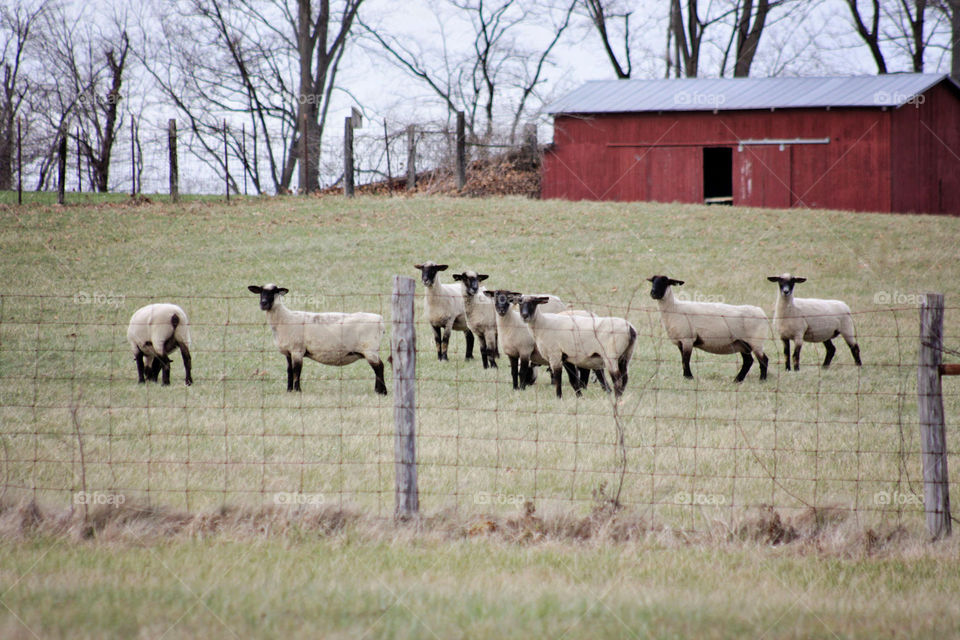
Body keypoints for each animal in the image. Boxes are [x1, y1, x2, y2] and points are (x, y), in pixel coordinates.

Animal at [248, 284, 386, 395]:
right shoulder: (288, 352)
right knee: (378, 368)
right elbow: (289, 371)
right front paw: (289, 390)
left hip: (370, 349)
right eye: (261, 291)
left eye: (275, 291)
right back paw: (377, 391)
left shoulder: (297, 350)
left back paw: (382, 392)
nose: (263, 303)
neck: (285, 319)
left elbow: (297, 371)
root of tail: (380, 320)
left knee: (379, 367)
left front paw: (298, 391)